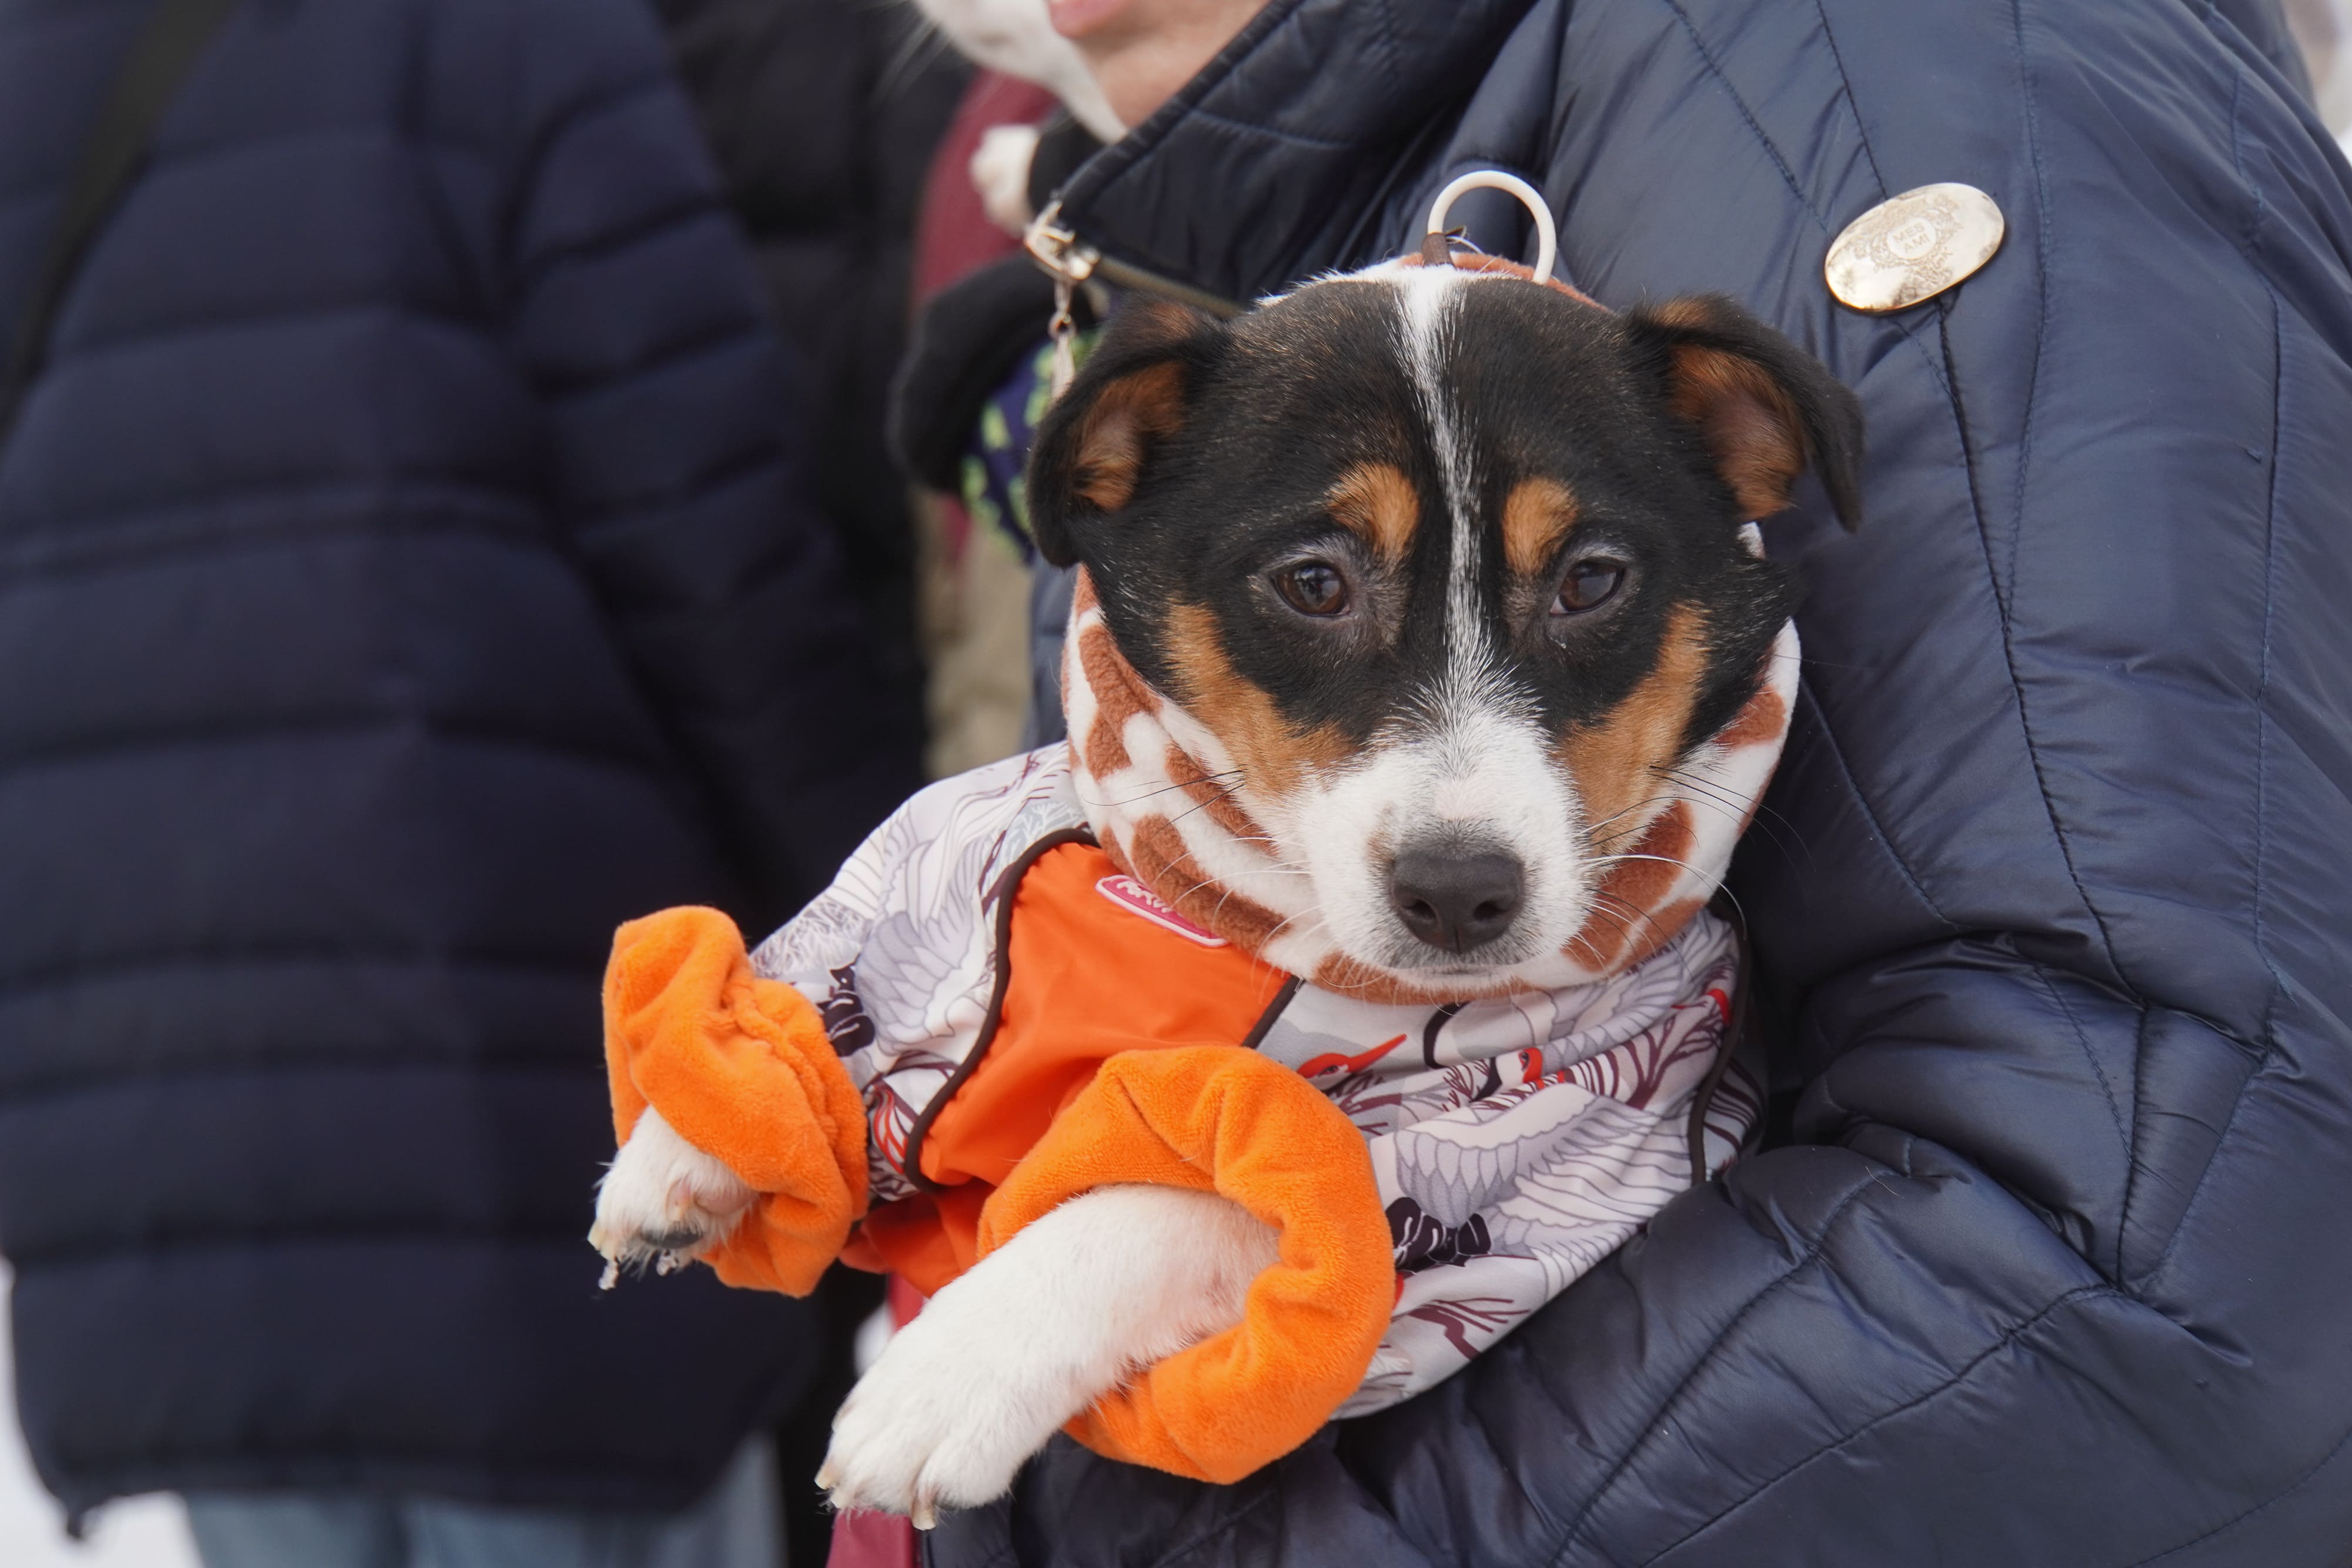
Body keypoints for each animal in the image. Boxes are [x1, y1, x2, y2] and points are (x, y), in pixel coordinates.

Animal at [583, 248, 1853, 1533]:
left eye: (1592, 578)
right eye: (1314, 581)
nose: (1459, 891)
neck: (1246, 926)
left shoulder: (1527, 1151)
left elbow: (1189, 1196)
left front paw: (952, 1372)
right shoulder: (966, 879)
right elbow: (866, 966)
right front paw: (709, 1120)